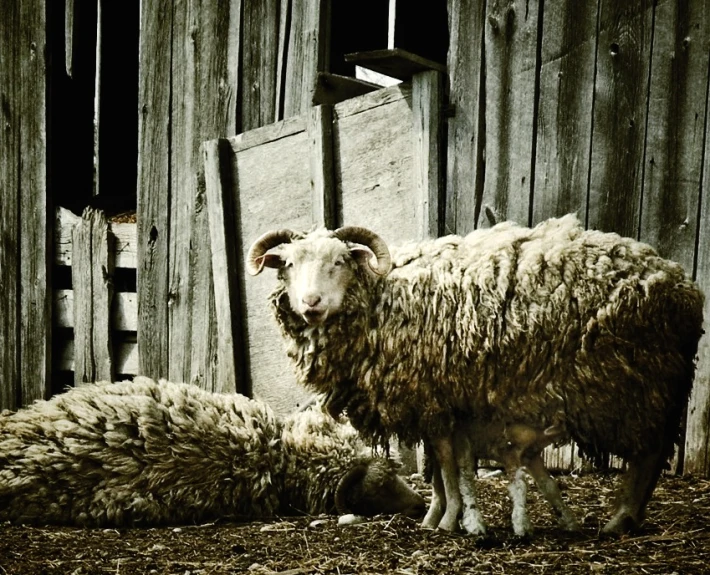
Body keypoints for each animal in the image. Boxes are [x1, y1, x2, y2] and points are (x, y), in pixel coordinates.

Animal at [248, 214, 704, 536]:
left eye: (341, 261)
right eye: (288, 264)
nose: (311, 304)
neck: (382, 297)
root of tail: (681, 283)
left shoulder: (433, 398)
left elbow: (447, 469)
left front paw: (448, 520)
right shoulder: (434, 402)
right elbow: (438, 469)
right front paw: (435, 517)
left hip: (635, 383)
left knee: (648, 454)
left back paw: (621, 520)